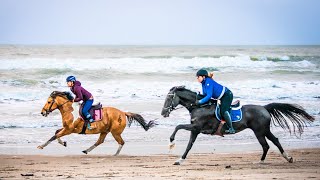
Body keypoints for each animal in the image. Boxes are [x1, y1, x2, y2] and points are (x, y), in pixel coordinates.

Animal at [161, 86, 314, 165]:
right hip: (264, 130)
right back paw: (287, 158)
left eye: (169, 98)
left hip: (260, 131)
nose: (163, 113)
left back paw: (261, 161)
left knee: (266, 145)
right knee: (274, 141)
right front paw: (180, 160)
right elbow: (189, 145)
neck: (198, 106)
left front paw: (171, 142)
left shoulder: (196, 128)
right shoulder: (195, 130)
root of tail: (264, 108)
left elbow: (178, 126)